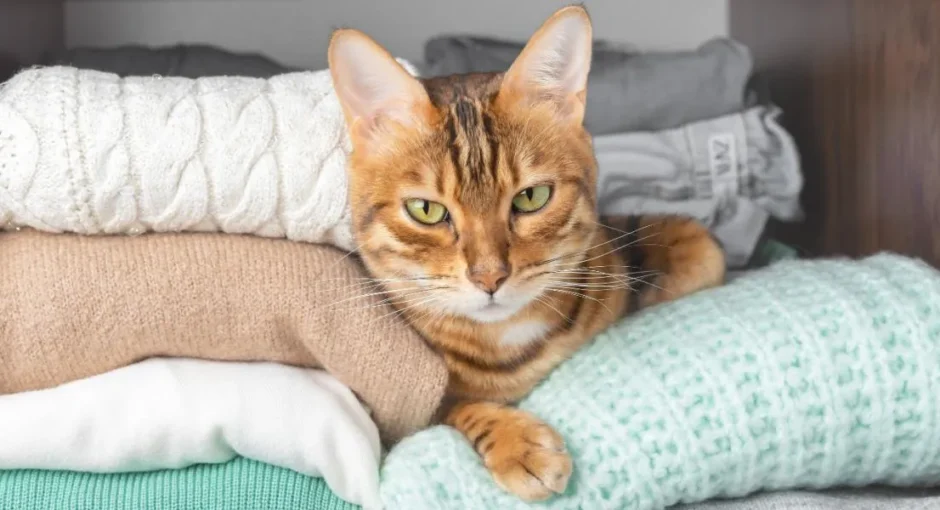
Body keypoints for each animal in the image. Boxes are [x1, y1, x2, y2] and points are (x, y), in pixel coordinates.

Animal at [330, 3, 728, 502]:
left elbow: (697, 249)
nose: (490, 277)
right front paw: (517, 443)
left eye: (532, 197)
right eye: (426, 210)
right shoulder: (414, 411)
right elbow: (457, 409)